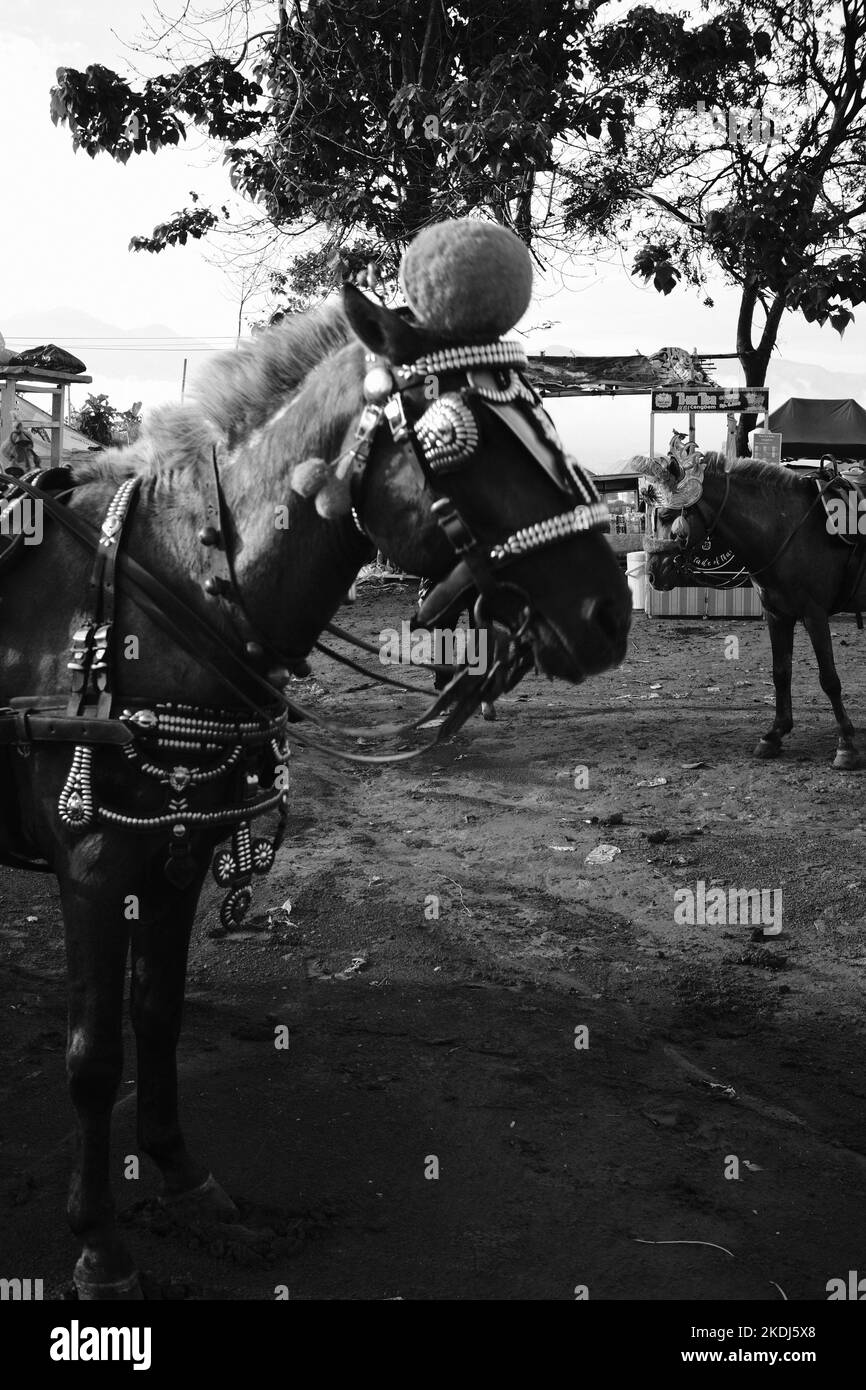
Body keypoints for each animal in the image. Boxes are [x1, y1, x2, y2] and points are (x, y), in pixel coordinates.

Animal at [0, 287, 631, 1295]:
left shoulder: (178, 849)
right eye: (461, 437)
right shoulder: (95, 861)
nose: (608, 613)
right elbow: (93, 1056)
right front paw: (99, 1244)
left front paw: (182, 1178)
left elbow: (158, 1015)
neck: (172, 587)